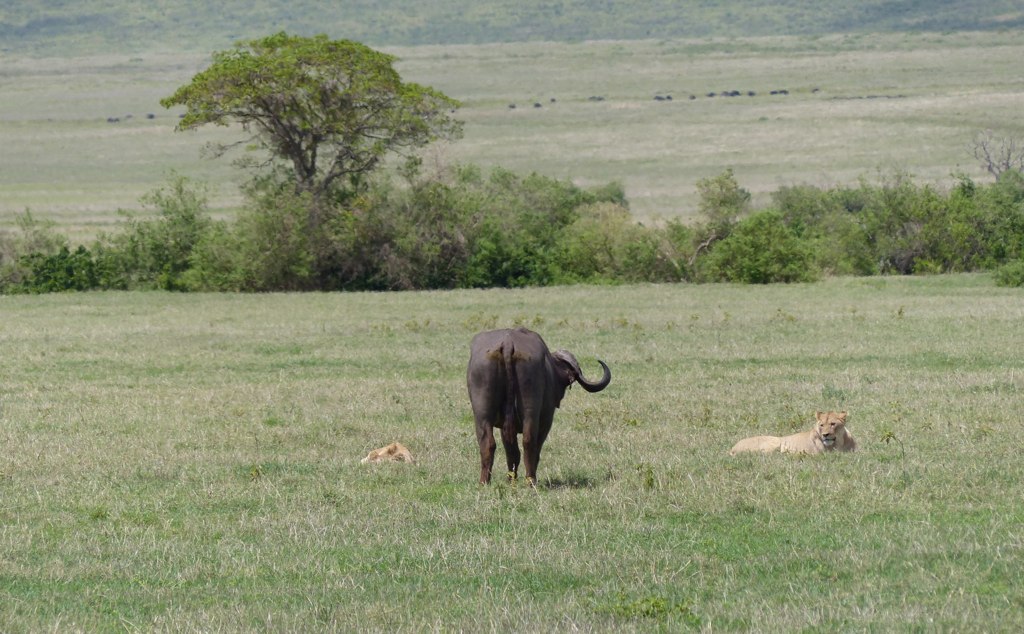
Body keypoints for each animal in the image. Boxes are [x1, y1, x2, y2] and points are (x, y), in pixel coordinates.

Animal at [468, 327, 610, 485]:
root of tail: (508, 343)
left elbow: (511, 451)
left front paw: (511, 480)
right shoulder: (546, 420)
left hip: (482, 414)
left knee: (489, 444)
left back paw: (485, 482)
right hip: (532, 411)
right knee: (529, 442)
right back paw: (531, 480)